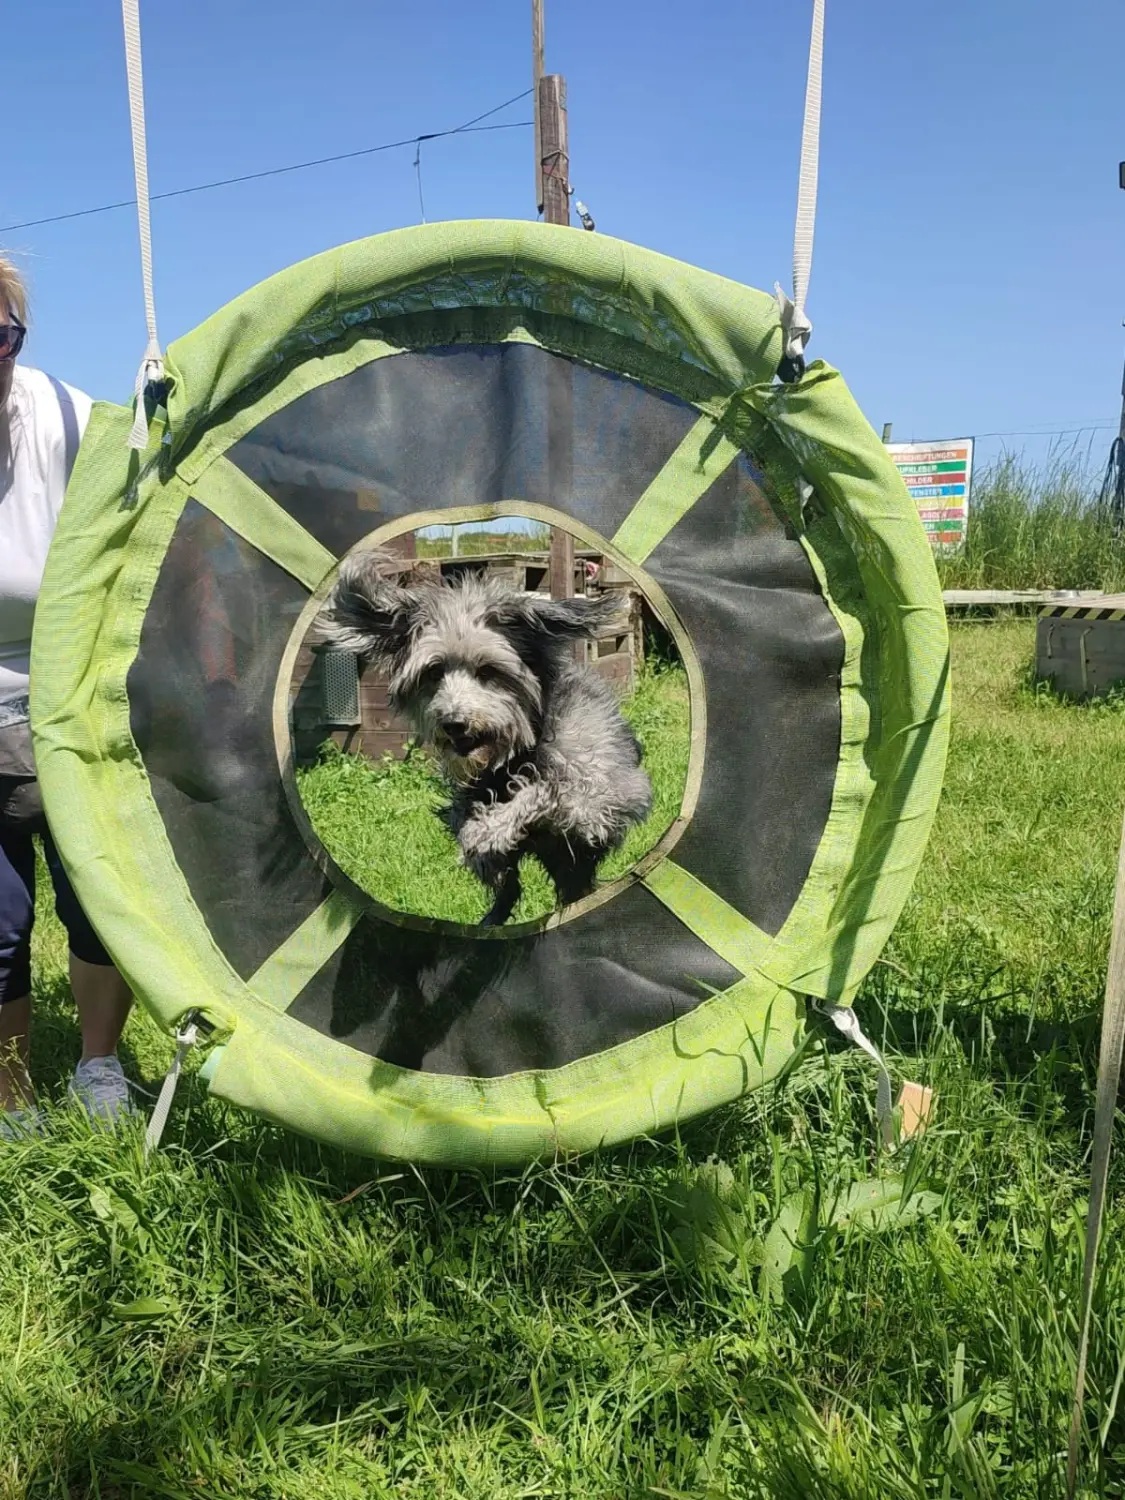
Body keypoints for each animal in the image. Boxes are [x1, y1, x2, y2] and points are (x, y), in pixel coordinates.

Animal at [315, 552, 651, 924]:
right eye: (434, 671)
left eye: (489, 670)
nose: (454, 723)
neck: (519, 752)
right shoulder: (466, 795)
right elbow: (465, 818)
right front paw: (482, 842)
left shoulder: (604, 800)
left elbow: (546, 791)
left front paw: (491, 829)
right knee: (517, 888)